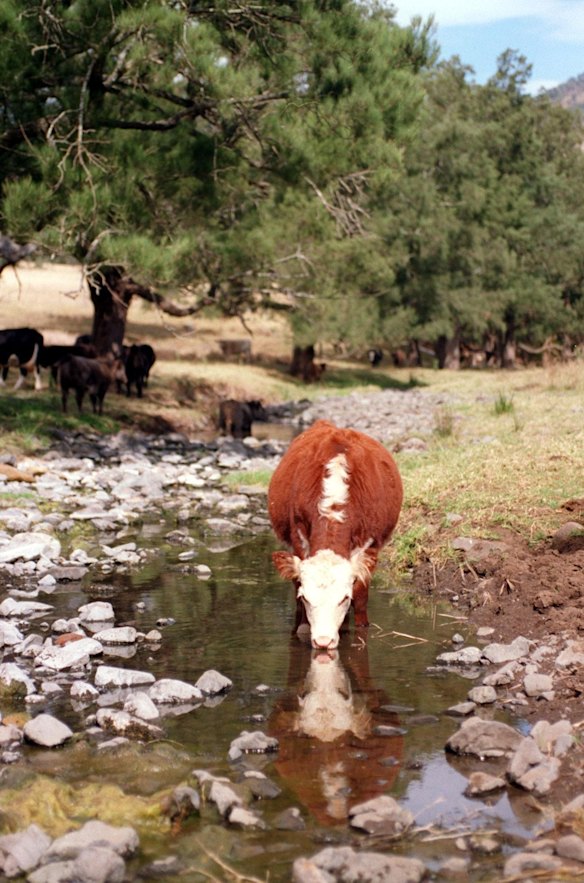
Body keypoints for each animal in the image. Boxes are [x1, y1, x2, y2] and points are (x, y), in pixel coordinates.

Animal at [268, 420, 403, 650]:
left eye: (344, 598)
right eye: (306, 598)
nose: (323, 641)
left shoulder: (369, 545)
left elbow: (361, 595)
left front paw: (360, 628)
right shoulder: (298, 538)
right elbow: (296, 588)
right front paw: (303, 627)